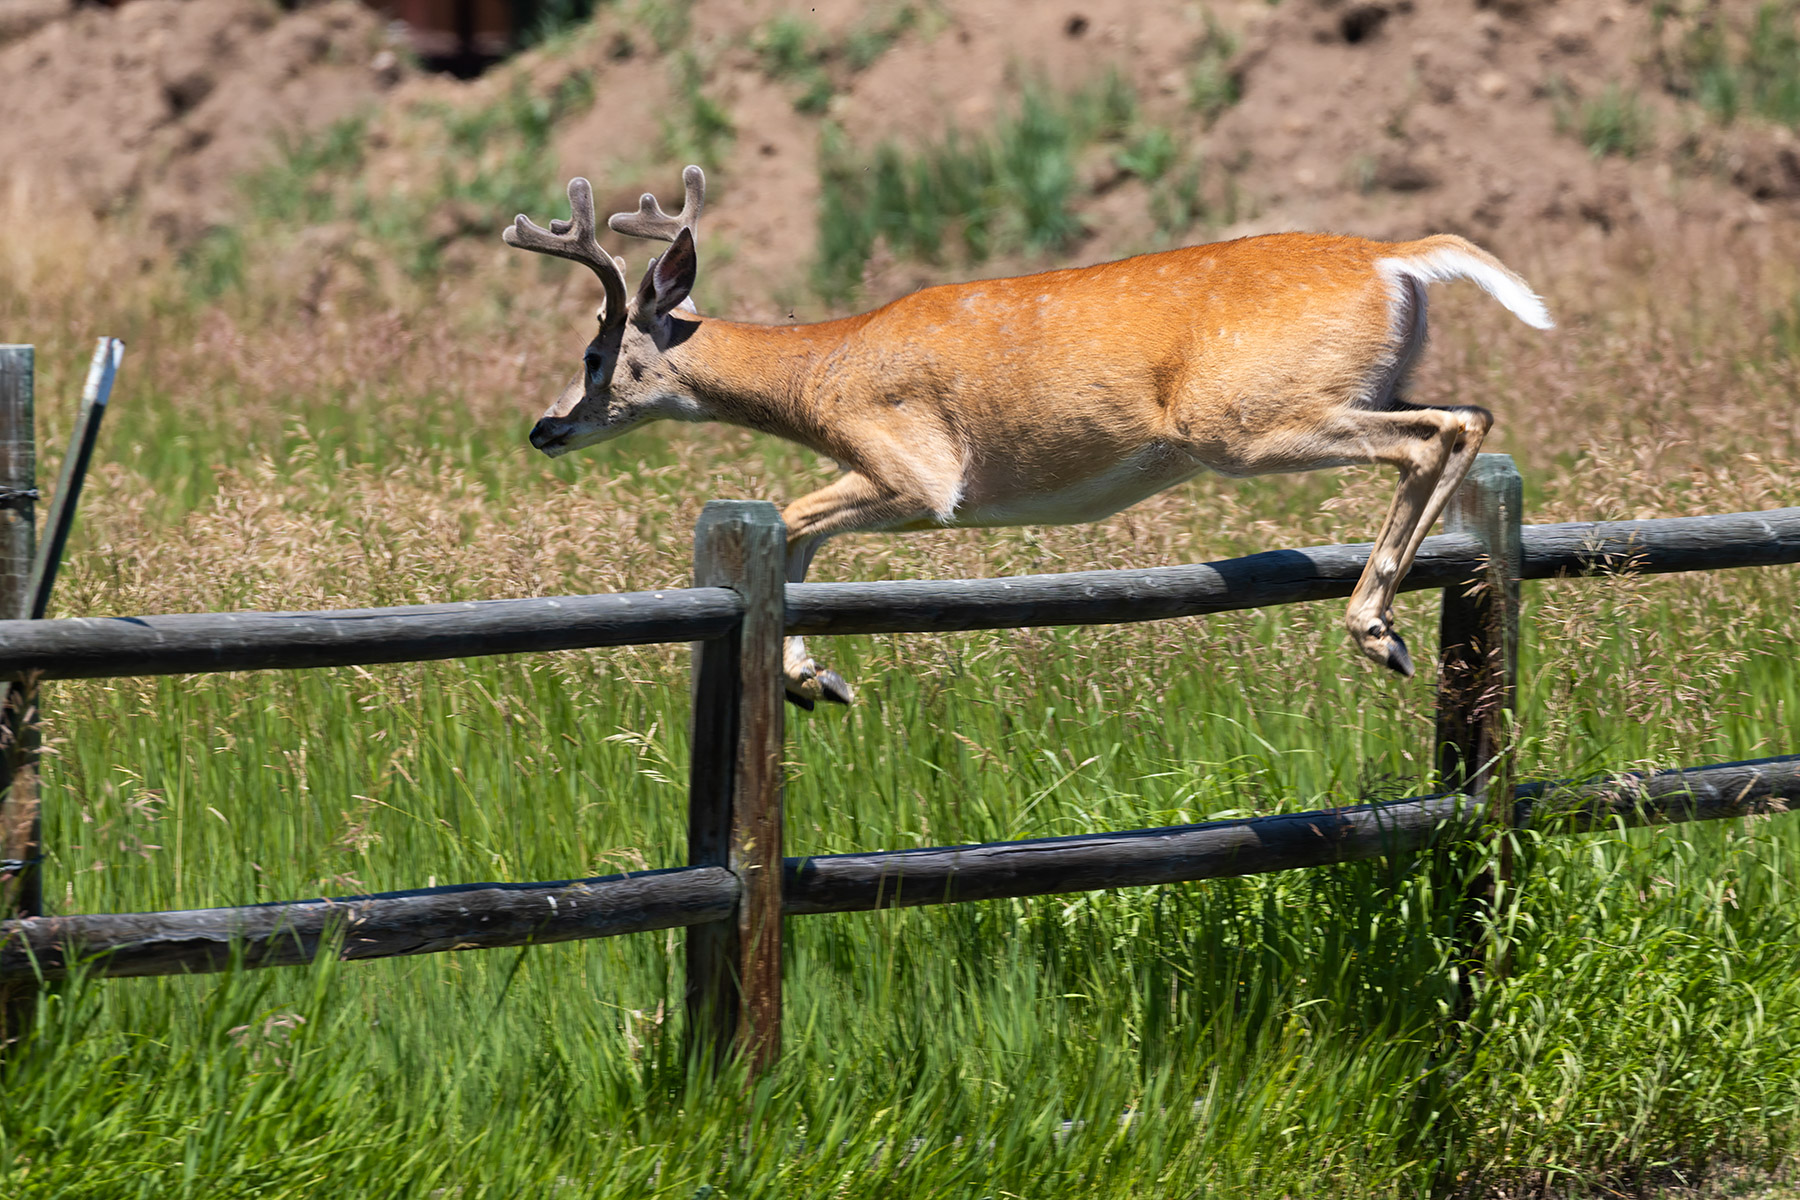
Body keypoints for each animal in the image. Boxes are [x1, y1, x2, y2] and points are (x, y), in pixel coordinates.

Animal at [503, 166, 1552, 709]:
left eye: (596, 355)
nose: (546, 426)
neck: (821, 369)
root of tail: (1396, 260)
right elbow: (797, 537)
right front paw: (816, 679)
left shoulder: (920, 472)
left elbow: (795, 519)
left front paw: (811, 676)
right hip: (1342, 391)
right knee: (1468, 415)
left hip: (1249, 420)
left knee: (1435, 432)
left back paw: (1375, 630)